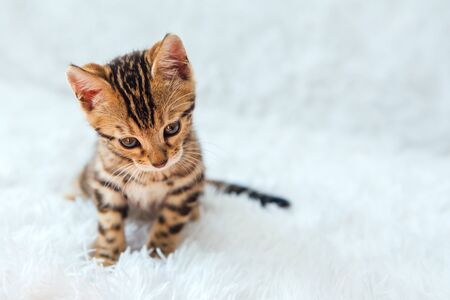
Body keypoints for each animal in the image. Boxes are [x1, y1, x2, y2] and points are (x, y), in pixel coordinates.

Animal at [65, 34, 290, 266]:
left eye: (172, 128)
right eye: (128, 142)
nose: (160, 162)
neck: (151, 177)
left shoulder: (186, 185)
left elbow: (169, 222)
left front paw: (155, 255)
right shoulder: (106, 182)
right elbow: (109, 222)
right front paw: (106, 256)